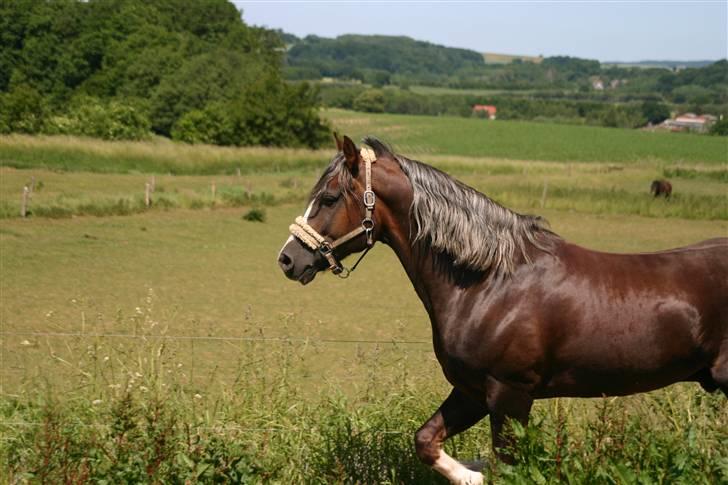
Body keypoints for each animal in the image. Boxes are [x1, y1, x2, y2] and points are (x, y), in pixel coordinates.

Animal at [278, 135, 728, 484]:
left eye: (329, 197)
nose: (288, 259)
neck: (489, 282)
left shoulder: (509, 394)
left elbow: (510, 468)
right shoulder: (473, 391)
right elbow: (426, 441)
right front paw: (473, 472)